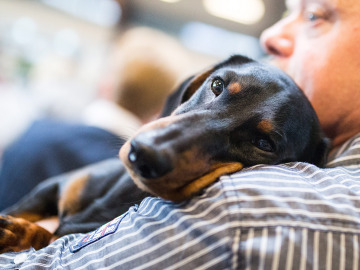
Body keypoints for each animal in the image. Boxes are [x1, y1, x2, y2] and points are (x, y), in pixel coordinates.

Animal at [0, 54, 330, 253]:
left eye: (264, 143)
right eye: (217, 84)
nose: (142, 154)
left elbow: (53, 237)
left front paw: (23, 234)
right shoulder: (51, 187)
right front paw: (17, 230)